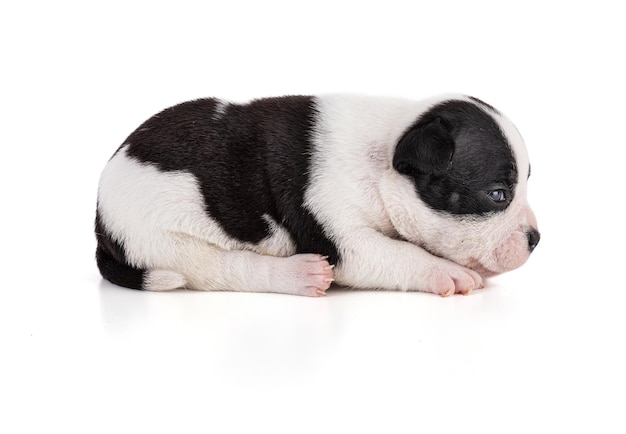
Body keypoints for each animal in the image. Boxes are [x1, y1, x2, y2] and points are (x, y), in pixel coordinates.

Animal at [96, 94, 536, 298]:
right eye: (497, 194)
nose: (536, 238)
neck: (385, 154)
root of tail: (99, 222)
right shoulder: (345, 238)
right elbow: (401, 254)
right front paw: (446, 271)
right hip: (167, 245)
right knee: (224, 269)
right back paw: (299, 275)